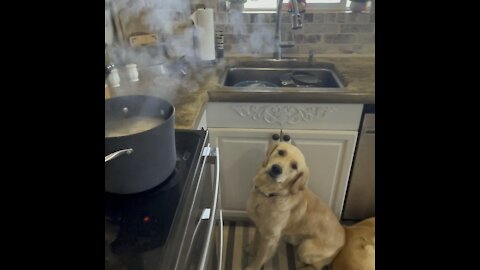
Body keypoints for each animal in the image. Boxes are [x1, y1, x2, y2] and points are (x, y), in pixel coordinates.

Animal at [248, 139, 344, 270]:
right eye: (281, 152)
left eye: (294, 166)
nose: (276, 168)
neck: (269, 195)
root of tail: (344, 239)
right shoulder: (259, 225)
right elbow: (256, 240)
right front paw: (252, 251)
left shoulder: (270, 237)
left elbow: (261, 256)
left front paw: (252, 266)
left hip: (305, 248)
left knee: (316, 266)